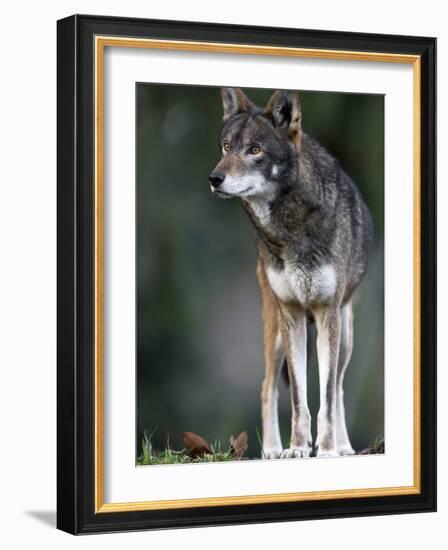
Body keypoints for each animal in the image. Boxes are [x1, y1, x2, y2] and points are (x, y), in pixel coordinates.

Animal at [208, 88, 372, 460]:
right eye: (226, 146)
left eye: (254, 150)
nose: (214, 178)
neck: (289, 228)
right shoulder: (292, 315)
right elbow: (298, 396)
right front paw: (297, 448)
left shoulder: (327, 314)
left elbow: (326, 394)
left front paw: (326, 449)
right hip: (275, 332)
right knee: (267, 387)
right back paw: (271, 449)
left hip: (345, 334)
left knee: (339, 387)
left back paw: (344, 447)